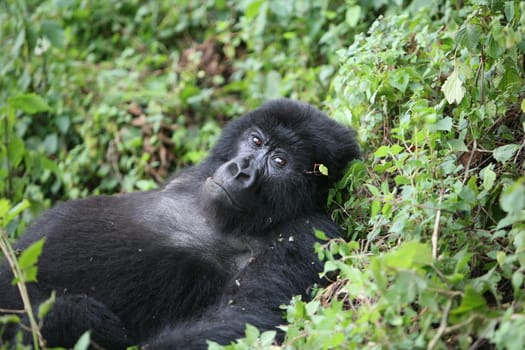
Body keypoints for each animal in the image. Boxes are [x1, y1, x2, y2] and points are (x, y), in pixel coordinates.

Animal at [0, 99, 360, 350]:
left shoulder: (308, 234)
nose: (242, 169)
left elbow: (247, 317)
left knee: (69, 313)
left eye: (279, 161)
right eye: (256, 141)